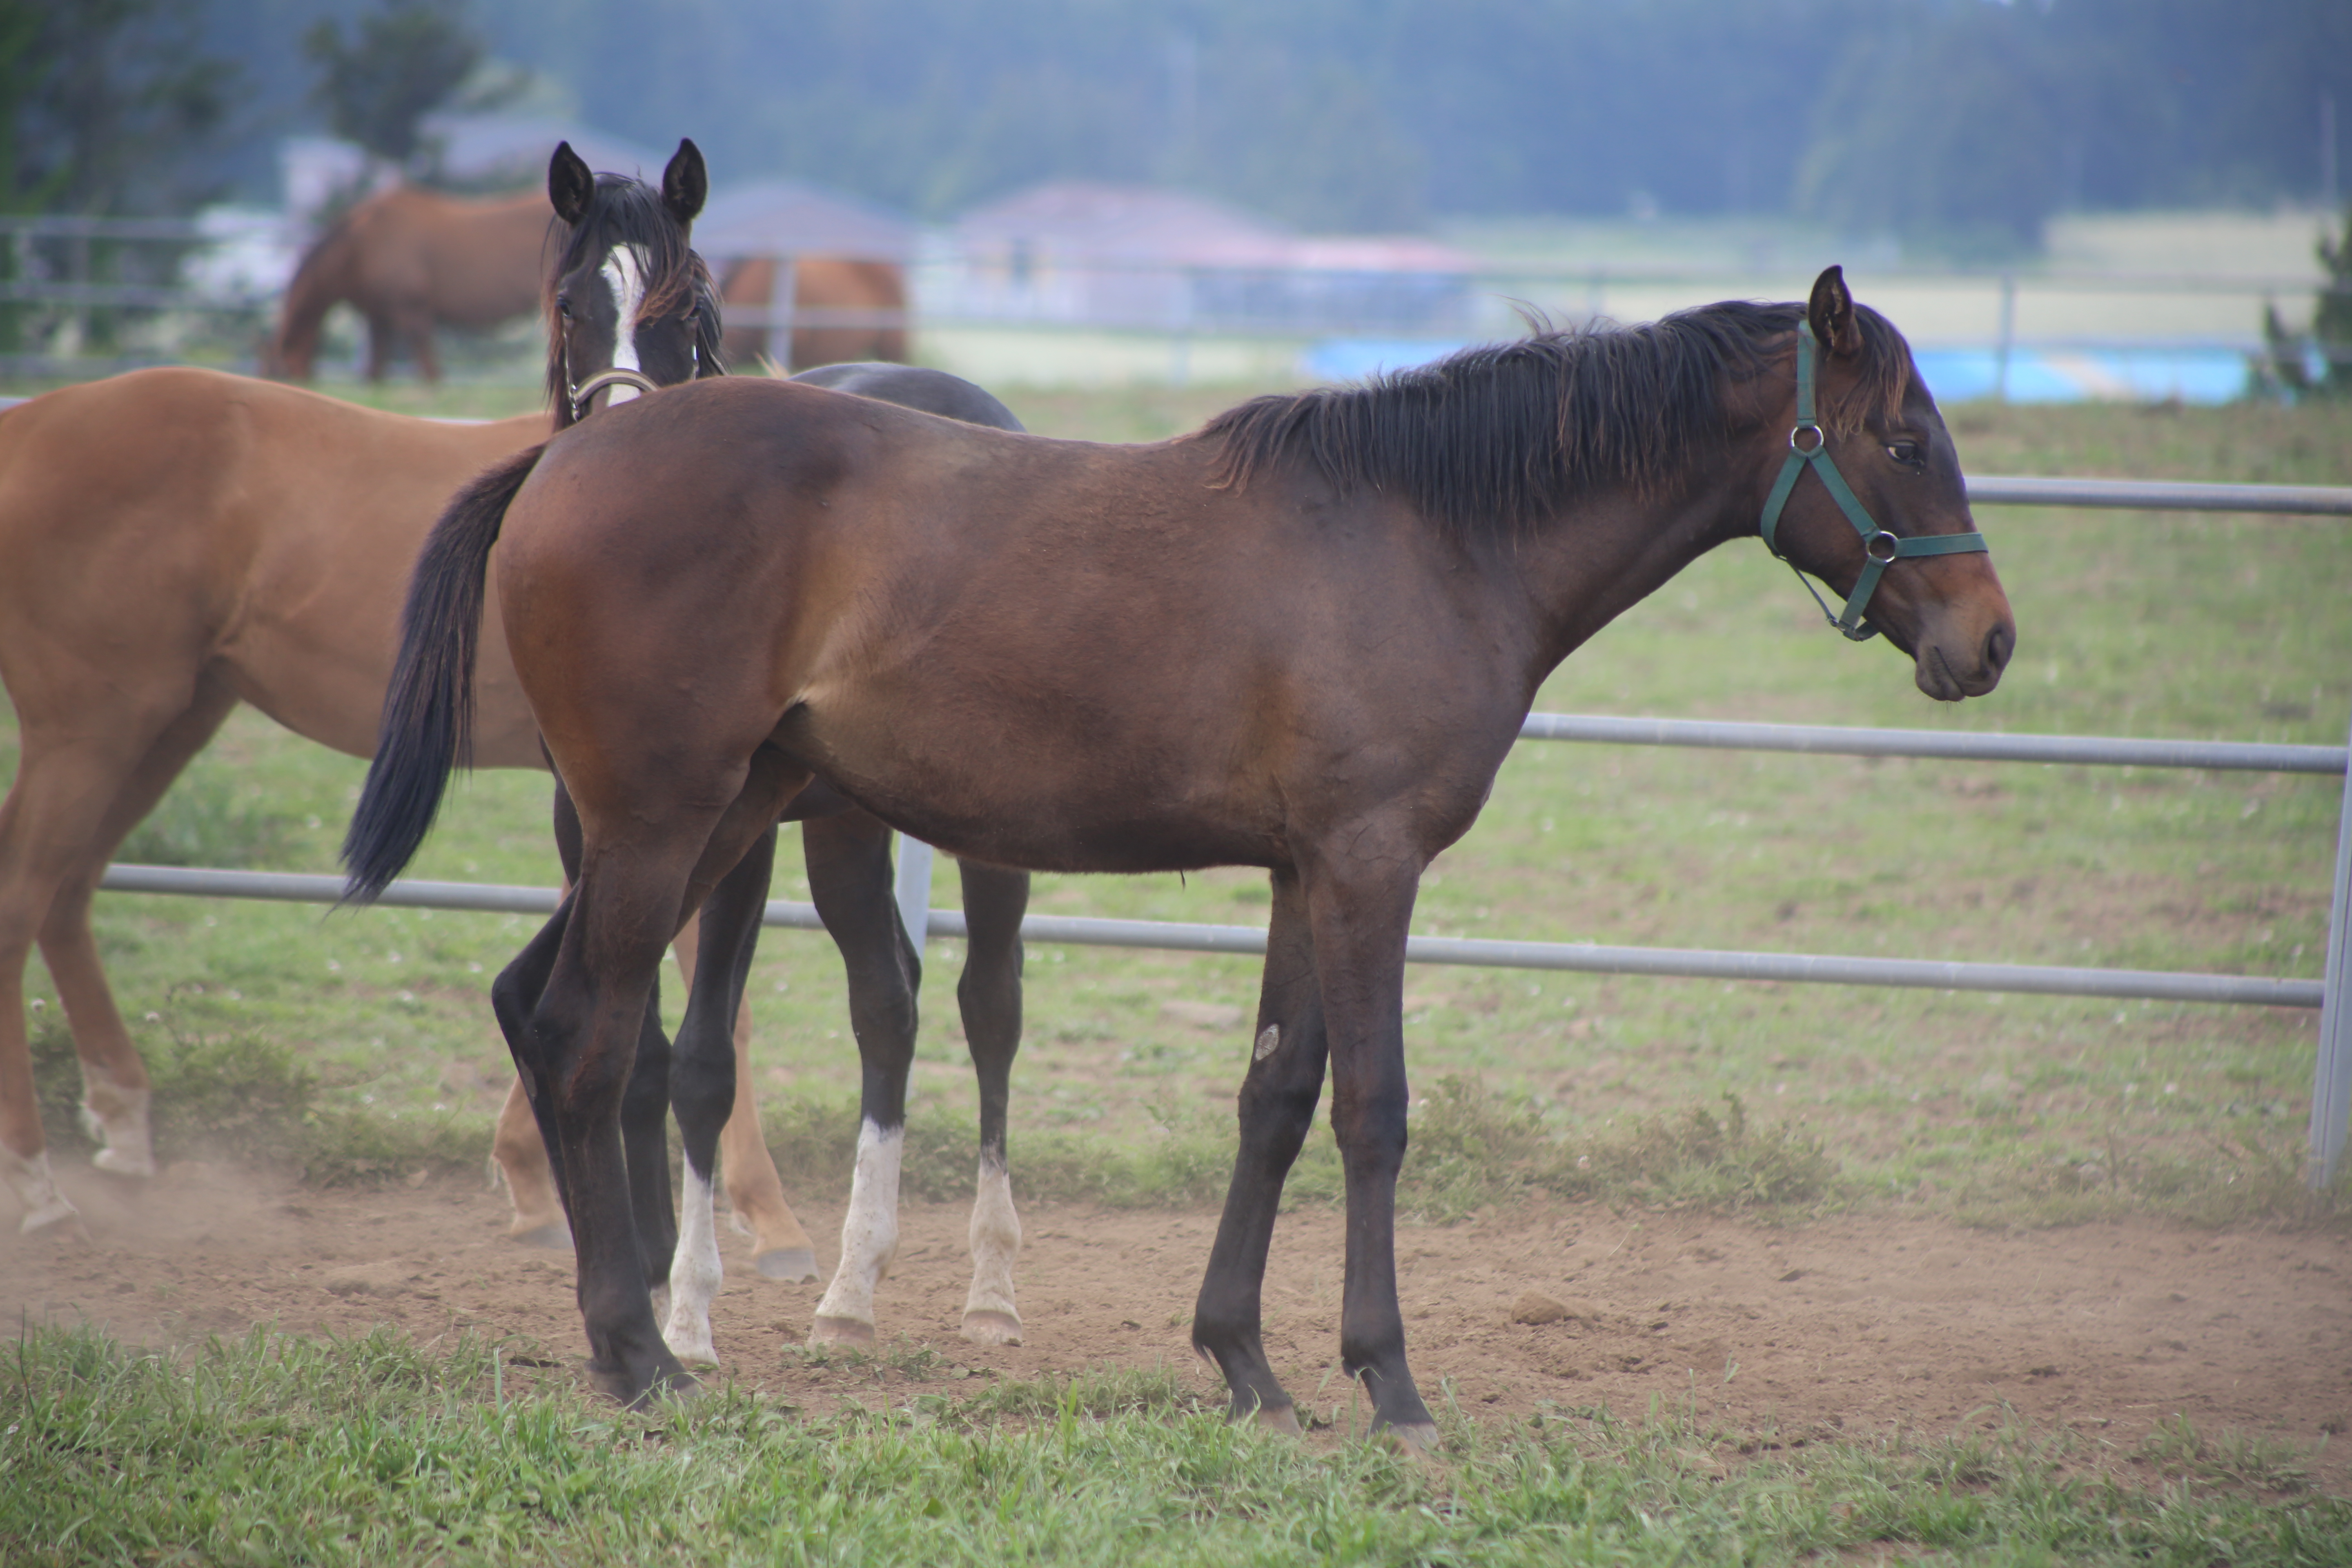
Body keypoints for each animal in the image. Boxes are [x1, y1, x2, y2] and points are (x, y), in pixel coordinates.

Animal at [269, 178, 550, 383]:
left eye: (281, 370)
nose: (301, 381)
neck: (363, 243)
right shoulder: (379, 315)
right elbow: (377, 364)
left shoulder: (411, 308)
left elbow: (423, 352)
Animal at [353, 267, 2022, 1439]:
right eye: (1902, 435)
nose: (1989, 641)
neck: (1427, 532)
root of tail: (563, 461)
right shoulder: (1370, 867)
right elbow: (1372, 1112)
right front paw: (1388, 1384)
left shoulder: (1304, 872)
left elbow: (1273, 1100)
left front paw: (1246, 1365)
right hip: (663, 825)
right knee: (586, 1037)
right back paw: (641, 1356)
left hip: (705, 821)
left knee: (541, 1011)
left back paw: (634, 1333)